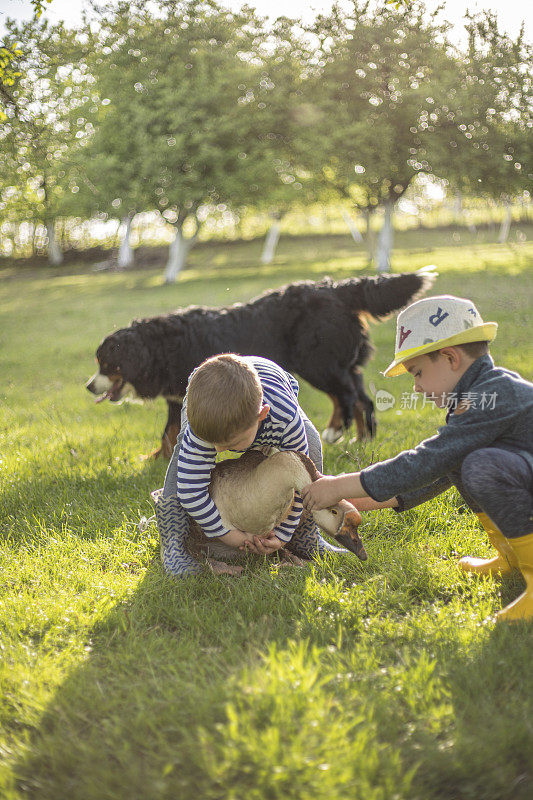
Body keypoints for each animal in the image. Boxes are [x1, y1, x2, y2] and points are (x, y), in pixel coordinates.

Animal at [87, 268, 434, 456]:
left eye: (107, 364)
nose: (89, 386)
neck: (159, 346)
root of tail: (334, 289)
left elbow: (175, 430)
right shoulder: (175, 397)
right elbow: (168, 431)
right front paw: (156, 457)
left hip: (318, 364)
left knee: (346, 397)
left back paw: (336, 432)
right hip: (345, 365)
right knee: (363, 401)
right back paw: (361, 440)